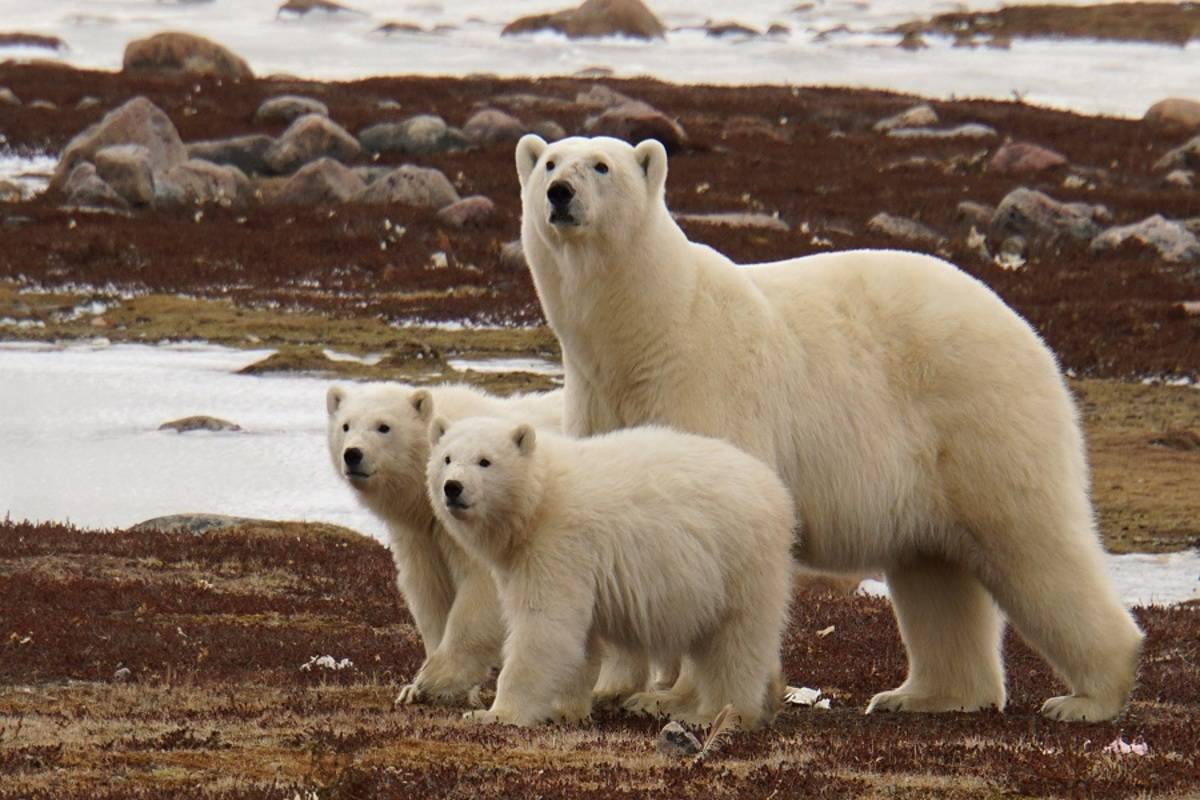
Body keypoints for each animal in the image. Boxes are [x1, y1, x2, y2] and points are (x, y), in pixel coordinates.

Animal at [516, 134, 1142, 724]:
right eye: (550, 162)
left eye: (601, 165)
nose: (560, 194)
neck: (648, 326)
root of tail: (1025, 330)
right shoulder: (599, 400)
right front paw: (615, 685)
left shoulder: (703, 379)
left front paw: (673, 699)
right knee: (934, 572)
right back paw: (923, 696)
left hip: (981, 419)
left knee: (1034, 542)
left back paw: (1089, 695)